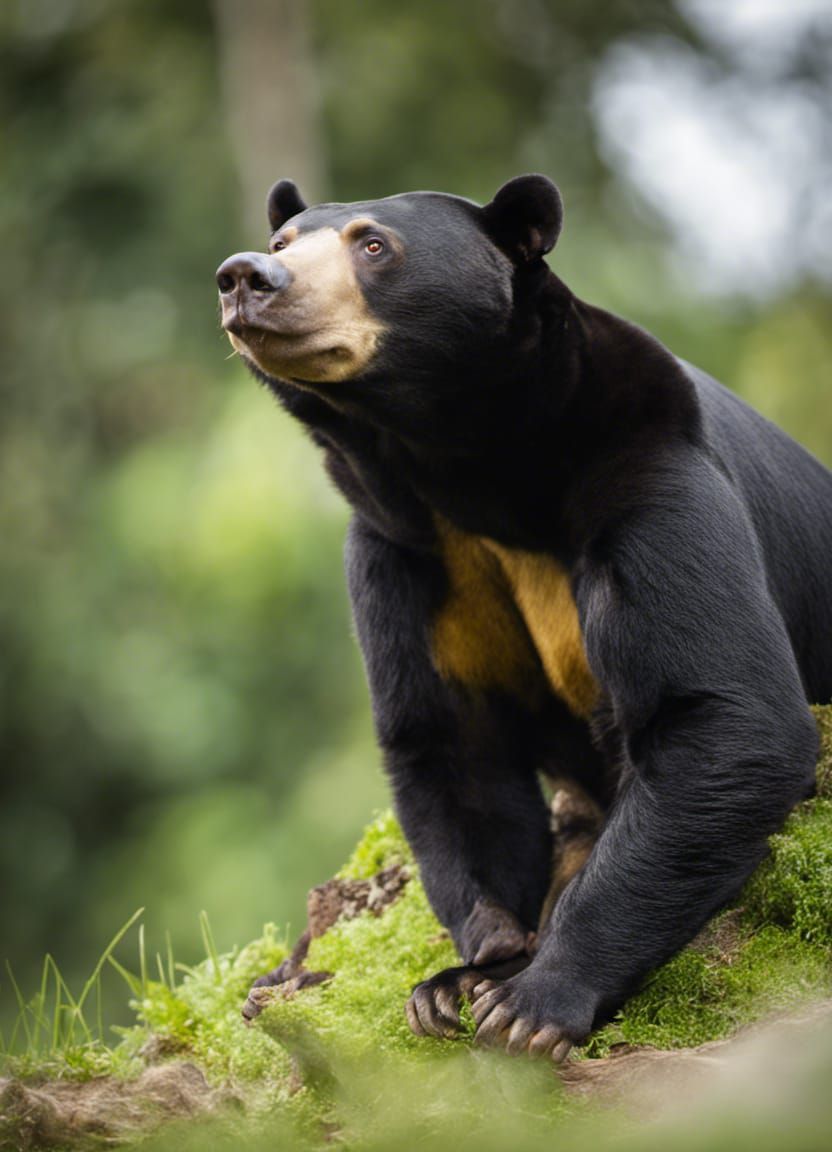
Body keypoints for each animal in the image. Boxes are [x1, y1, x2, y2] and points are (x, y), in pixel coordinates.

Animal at [216, 175, 832, 1061]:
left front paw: (531, 1001)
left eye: (374, 245)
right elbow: (450, 741)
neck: (468, 463)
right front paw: (466, 974)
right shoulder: (411, 550)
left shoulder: (650, 469)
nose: (247, 277)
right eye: (286, 240)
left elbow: (726, 715)